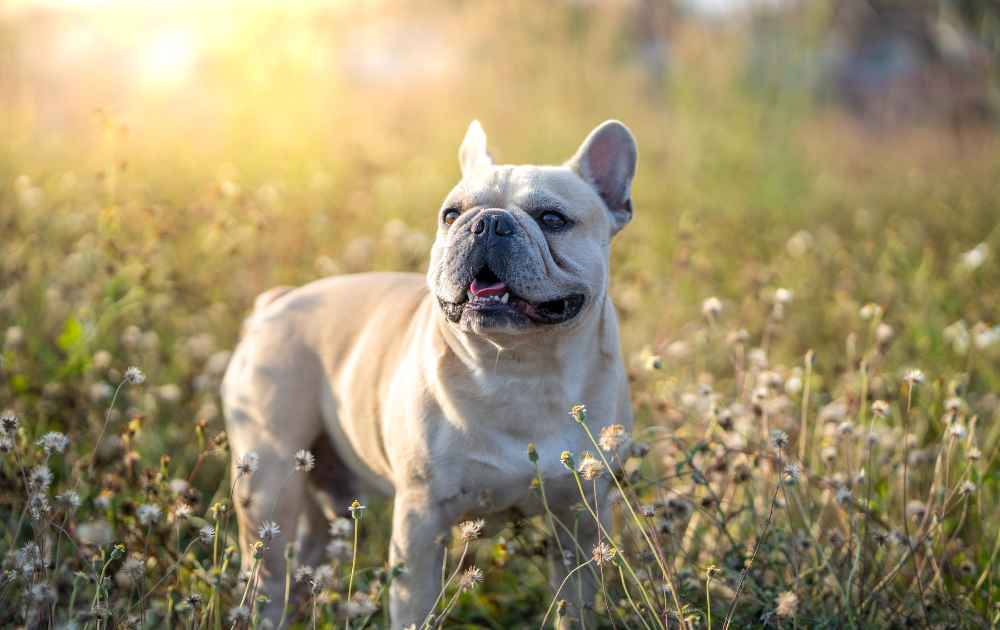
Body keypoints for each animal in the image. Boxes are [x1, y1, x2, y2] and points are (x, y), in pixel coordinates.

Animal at [222, 118, 636, 628]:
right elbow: (414, 610)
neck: (518, 367)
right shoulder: (420, 524)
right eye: (451, 214)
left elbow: (574, 607)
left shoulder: (580, 519)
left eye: (553, 219)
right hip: (269, 483)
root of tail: (274, 303)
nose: (488, 221)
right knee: (269, 576)